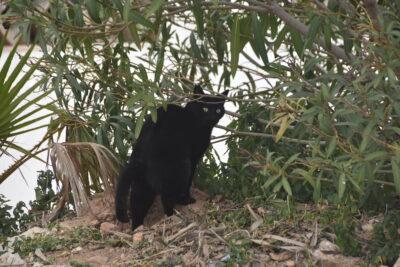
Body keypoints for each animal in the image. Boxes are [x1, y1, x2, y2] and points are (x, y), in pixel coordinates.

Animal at [115, 85, 228, 231]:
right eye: (205, 109)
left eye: (218, 109)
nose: (212, 117)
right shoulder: (193, 159)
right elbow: (189, 182)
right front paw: (186, 199)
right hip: (180, 167)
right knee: (167, 197)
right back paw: (173, 216)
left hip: (142, 184)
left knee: (137, 207)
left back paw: (137, 229)